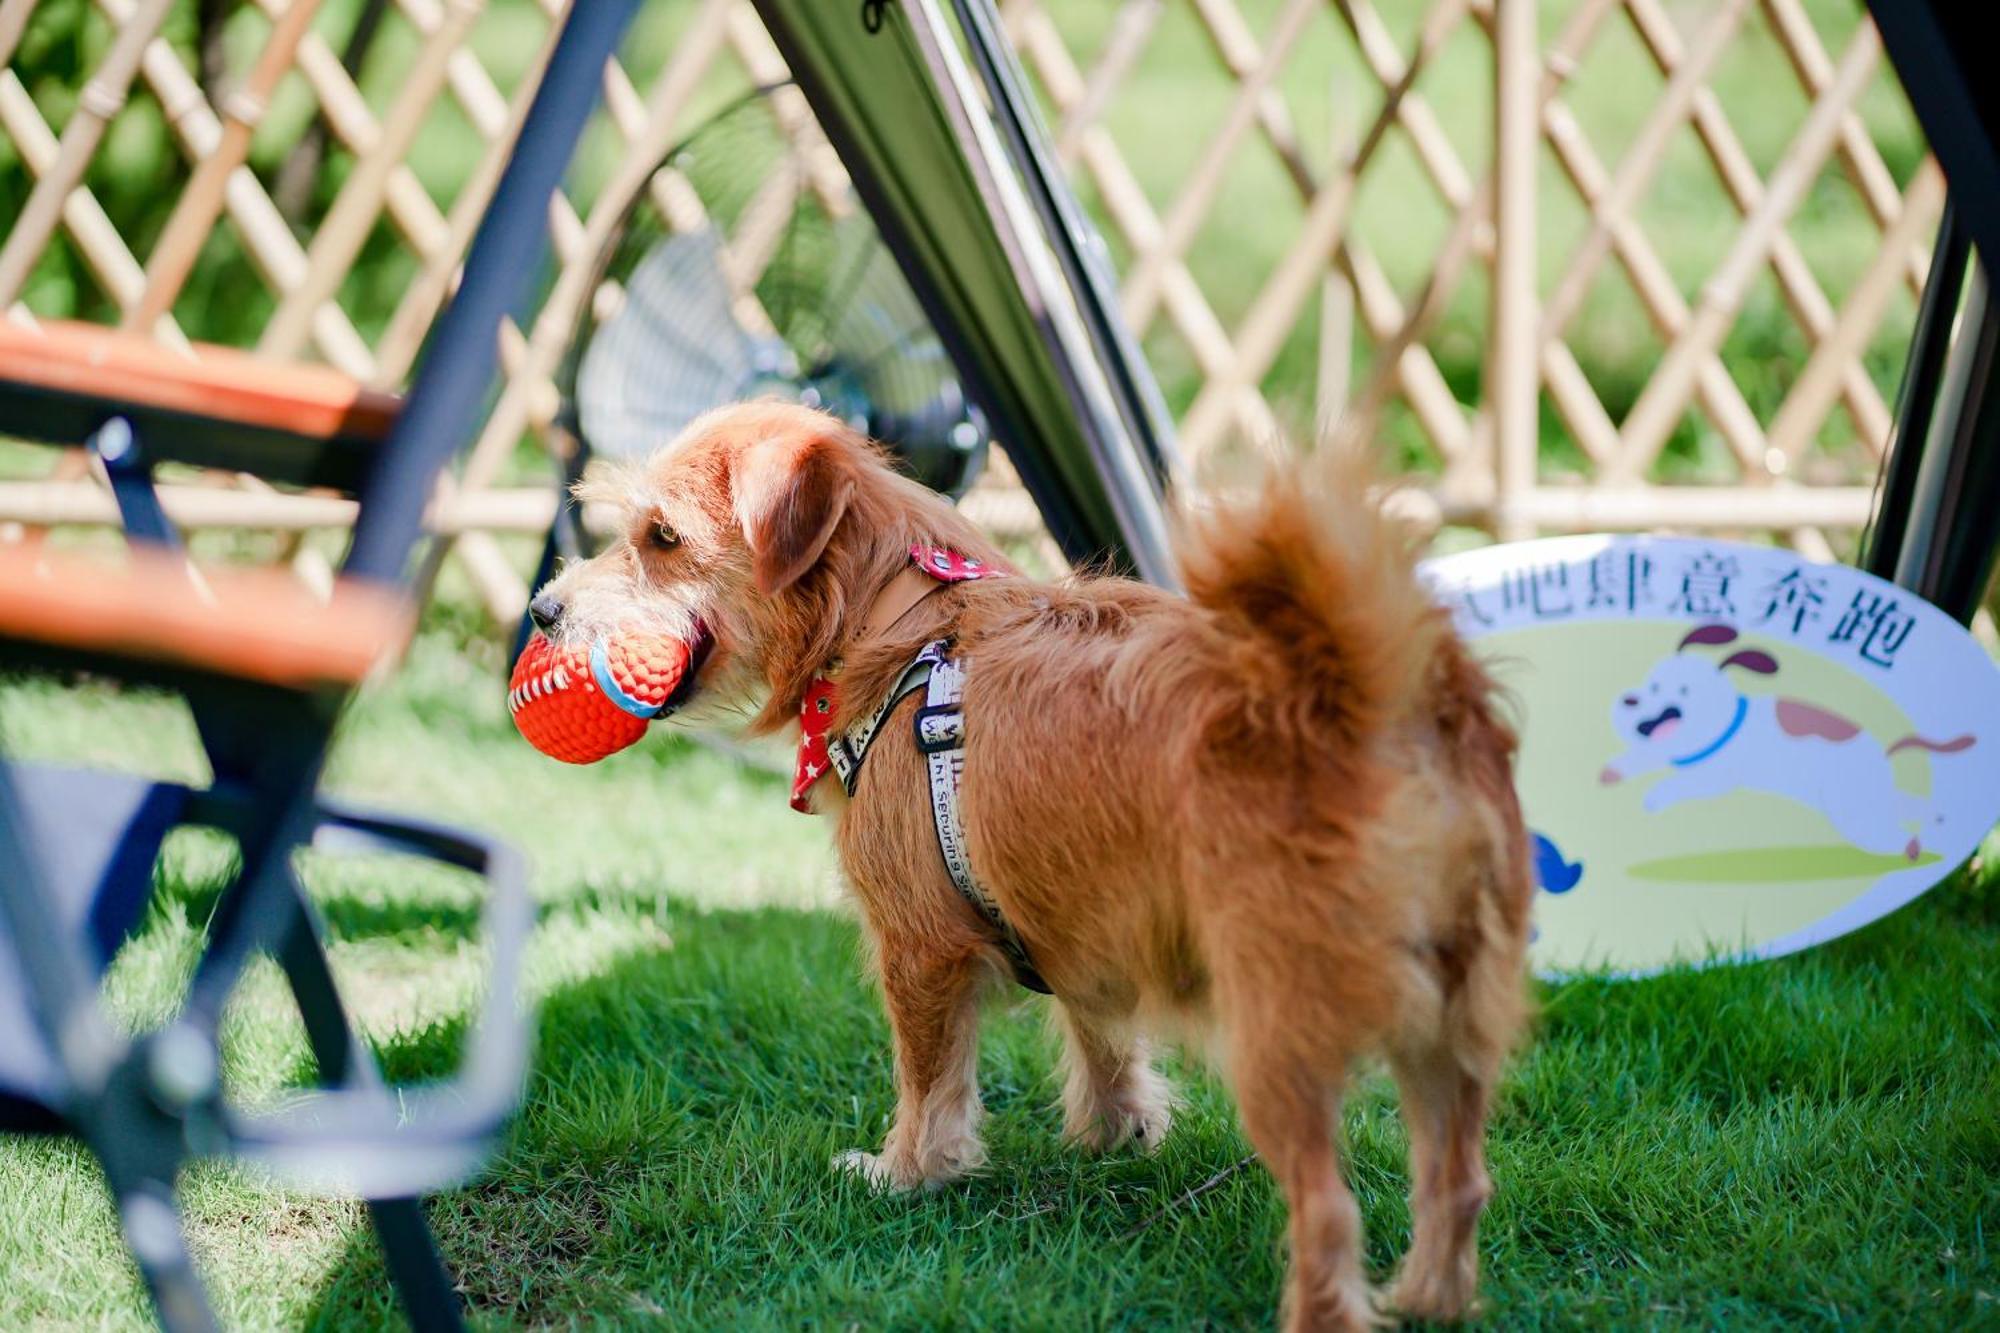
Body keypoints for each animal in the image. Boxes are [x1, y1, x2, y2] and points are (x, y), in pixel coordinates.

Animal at [528, 400, 1528, 1320]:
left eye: (662, 538)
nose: (542, 609)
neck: (898, 618)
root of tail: (1371, 695)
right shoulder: (1087, 922)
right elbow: (1104, 1039)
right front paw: (1117, 1133)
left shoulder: (918, 949)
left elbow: (928, 1082)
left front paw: (907, 1170)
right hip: (1453, 1025)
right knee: (1458, 1183)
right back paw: (1431, 1298)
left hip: (1280, 1034)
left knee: (1328, 1214)